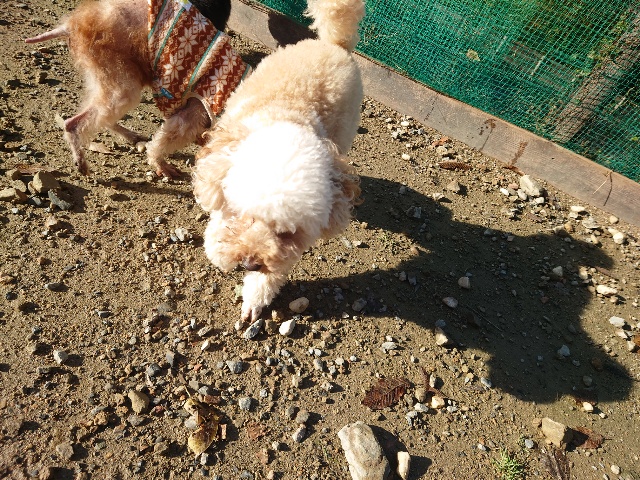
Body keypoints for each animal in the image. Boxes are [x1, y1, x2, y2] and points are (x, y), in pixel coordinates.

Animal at [25, 0, 249, 178]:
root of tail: (72, 23)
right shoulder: (192, 115)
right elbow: (162, 141)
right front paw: (162, 166)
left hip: (107, 78)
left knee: (100, 115)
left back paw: (130, 136)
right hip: (122, 81)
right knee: (75, 123)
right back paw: (82, 162)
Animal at [192, 0, 365, 325]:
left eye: (287, 233)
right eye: (243, 215)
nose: (249, 263)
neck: (289, 116)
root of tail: (332, 44)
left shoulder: (288, 252)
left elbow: (271, 276)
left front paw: (253, 299)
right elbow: (216, 224)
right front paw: (218, 251)